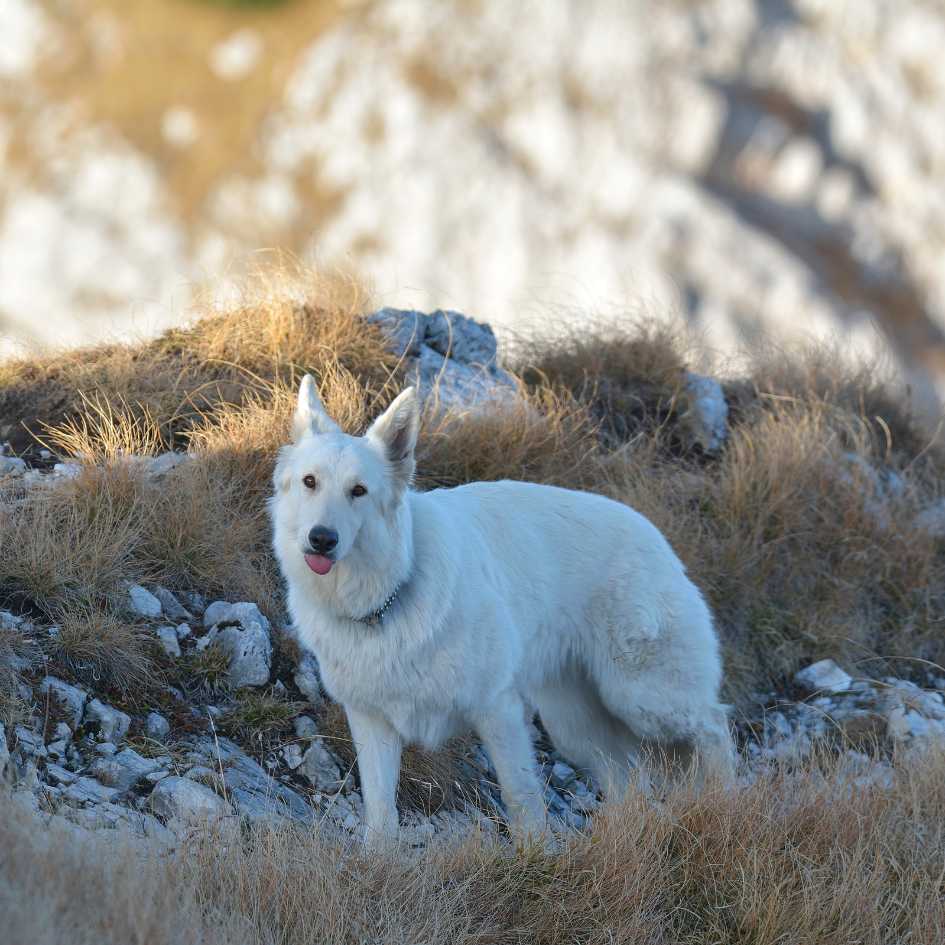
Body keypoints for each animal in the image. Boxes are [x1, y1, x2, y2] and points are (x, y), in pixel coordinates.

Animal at [270, 376, 732, 840]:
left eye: (359, 491)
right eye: (310, 482)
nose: (321, 538)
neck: (390, 596)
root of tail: (656, 535)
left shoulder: (497, 709)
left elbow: (521, 798)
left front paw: (536, 852)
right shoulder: (372, 721)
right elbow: (381, 809)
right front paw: (377, 855)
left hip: (642, 696)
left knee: (714, 725)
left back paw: (723, 802)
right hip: (576, 726)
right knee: (629, 778)